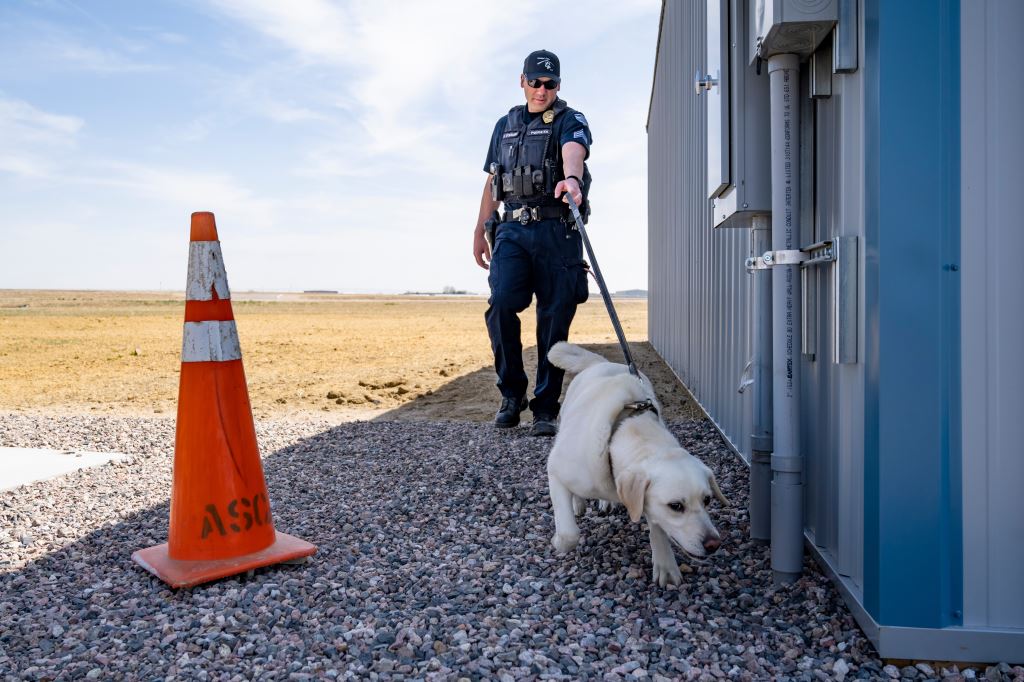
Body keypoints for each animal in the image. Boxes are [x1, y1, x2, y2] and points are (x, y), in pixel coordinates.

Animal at [544, 339, 729, 585]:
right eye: (676, 506)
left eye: (707, 500)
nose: (713, 544)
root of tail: (601, 362)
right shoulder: (555, 470)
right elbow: (569, 534)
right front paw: (558, 541)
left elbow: (657, 527)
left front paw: (665, 565)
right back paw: (579, 503)